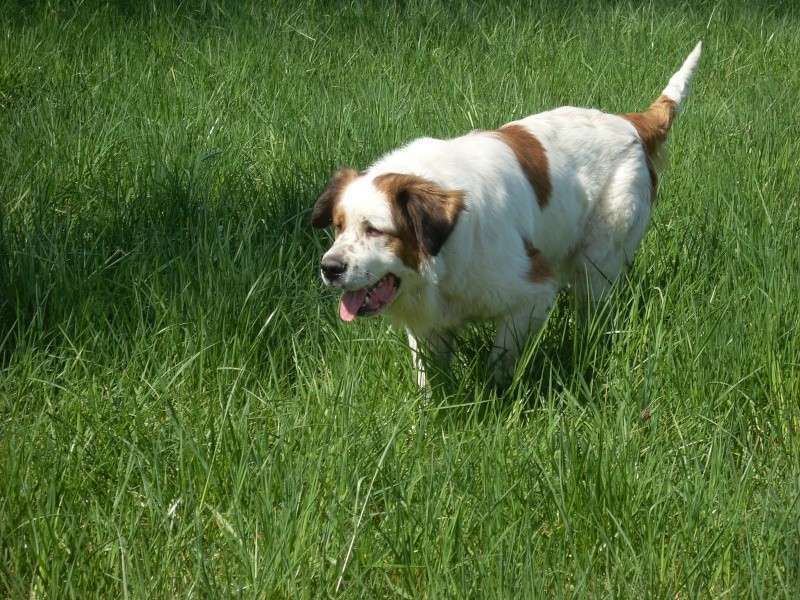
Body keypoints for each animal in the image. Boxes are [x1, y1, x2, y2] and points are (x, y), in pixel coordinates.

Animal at [310, 43, 700, 390]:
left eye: (375, 230)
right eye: (338, 227)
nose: (329, 268)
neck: (447, 246)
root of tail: (629, 122)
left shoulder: (531, 290)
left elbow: (500, 359)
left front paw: (496, 394)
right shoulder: (429, 323)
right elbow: (429, 378)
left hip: (600, 260)